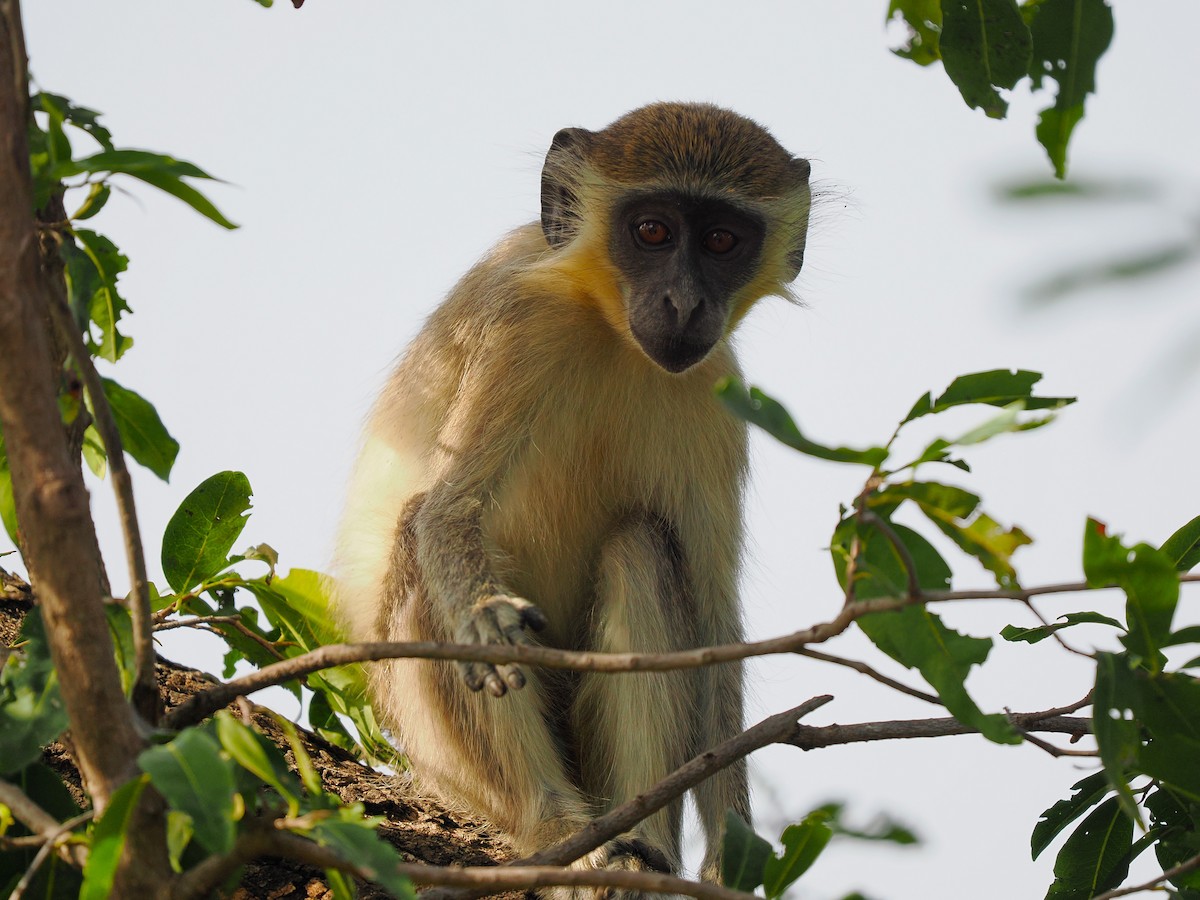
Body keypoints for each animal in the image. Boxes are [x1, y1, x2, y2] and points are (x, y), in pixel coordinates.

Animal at [334, 102, 811, 891]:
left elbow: (714, 627)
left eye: (722, 239)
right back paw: (562, 833)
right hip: (437, 756)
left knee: (641, 548)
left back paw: (640, 844)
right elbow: (448, 514)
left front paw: (727, 856)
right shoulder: (521, 328)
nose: (685, 301)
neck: (609, 328)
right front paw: (487, 619)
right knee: (416, 531)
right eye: (652, 231)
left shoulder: (719, 396)